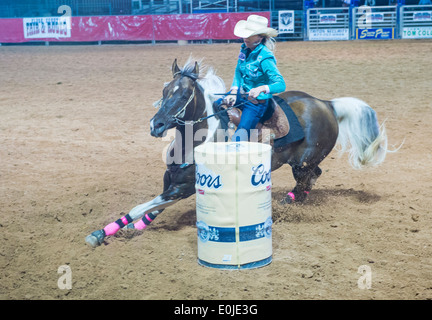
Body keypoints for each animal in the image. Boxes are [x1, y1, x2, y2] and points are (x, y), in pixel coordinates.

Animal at [84, 57, 388, 248]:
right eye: (164, 90)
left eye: (183, 95)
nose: (156, 125)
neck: (194, 141)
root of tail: (327, 103)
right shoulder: (174, 184)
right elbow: (152, 208)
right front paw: (128, 228)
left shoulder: (183, 187)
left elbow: (140, 207)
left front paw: (100, 233)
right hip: (301, 161)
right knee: (313, 176)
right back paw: (294, 201)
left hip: (303, 161)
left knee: (307, 178)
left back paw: (286, 203)